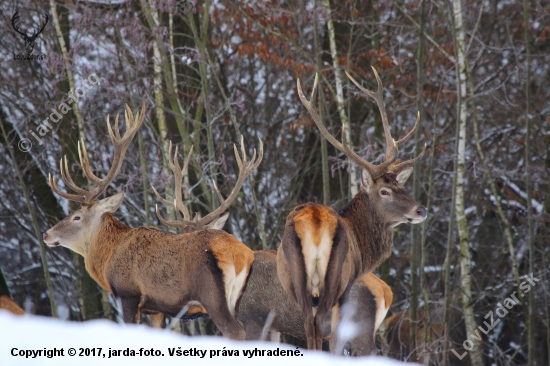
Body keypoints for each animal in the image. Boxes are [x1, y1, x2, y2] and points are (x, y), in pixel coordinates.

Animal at [43, 101, 264, 338]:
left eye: (76, 216)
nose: (47, 234)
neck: (109, 256)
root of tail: (239, 254)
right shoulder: (155, 310)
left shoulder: (128, 293)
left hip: (212, 295)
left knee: (238, 333)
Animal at [278, 67, 430, 350]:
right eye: (385, 191)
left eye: (401, 185)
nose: (421, 210)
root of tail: (315, 222)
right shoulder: (347, 284)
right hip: (334, 280)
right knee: (325, 330)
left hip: (297, 280)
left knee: (309, 327)